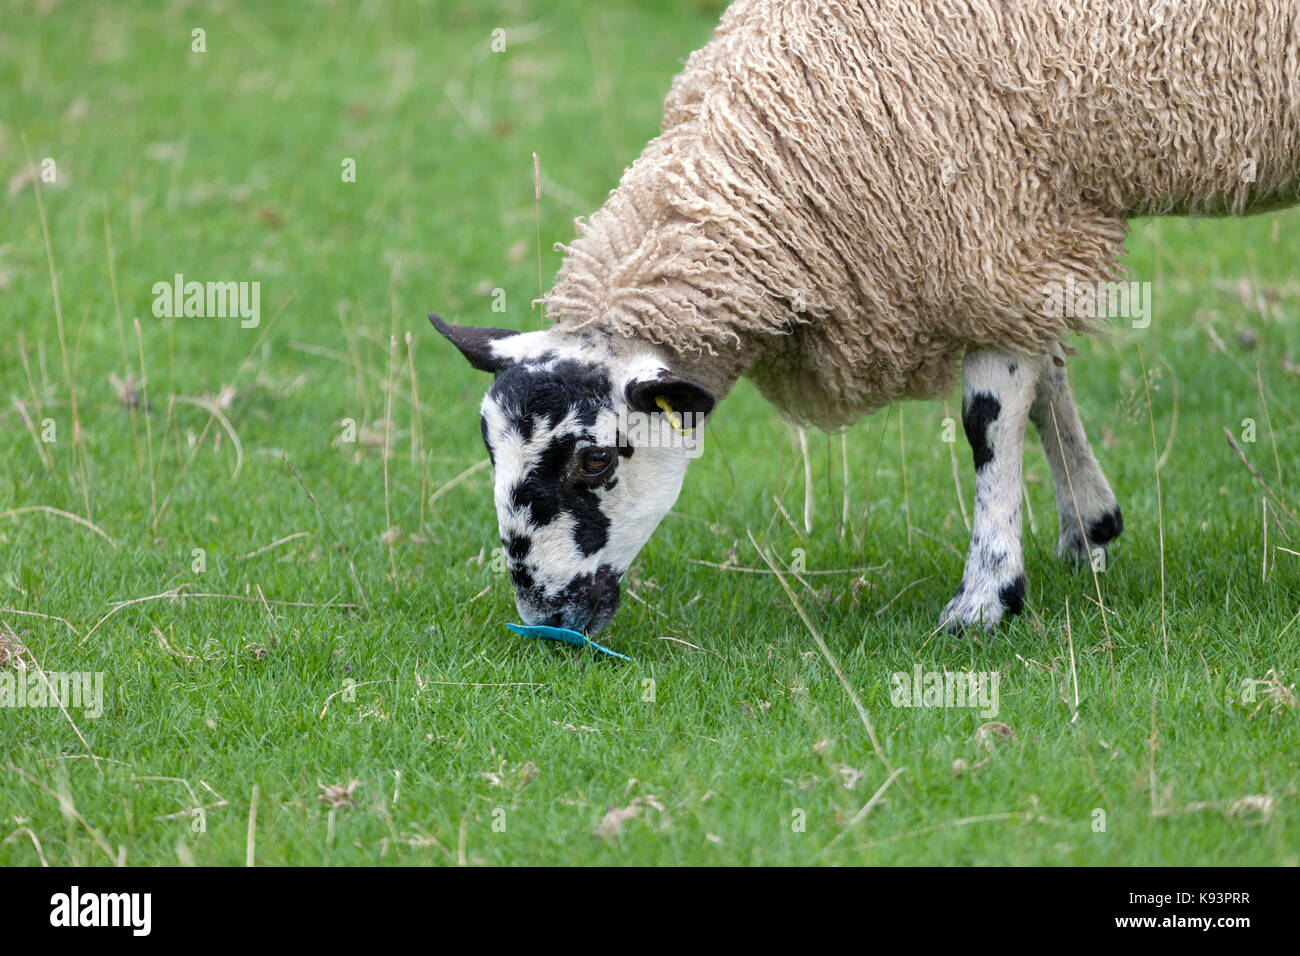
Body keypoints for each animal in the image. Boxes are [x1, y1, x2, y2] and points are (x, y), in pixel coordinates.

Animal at [436, 1, 1300, 642]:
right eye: (488, 449)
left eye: (592, 462)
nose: (544, 622)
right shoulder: (1023, 233)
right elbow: (1046, 375)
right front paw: (1089, 524)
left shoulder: (987, 219)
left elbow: (989, 418)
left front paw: (985, 601)